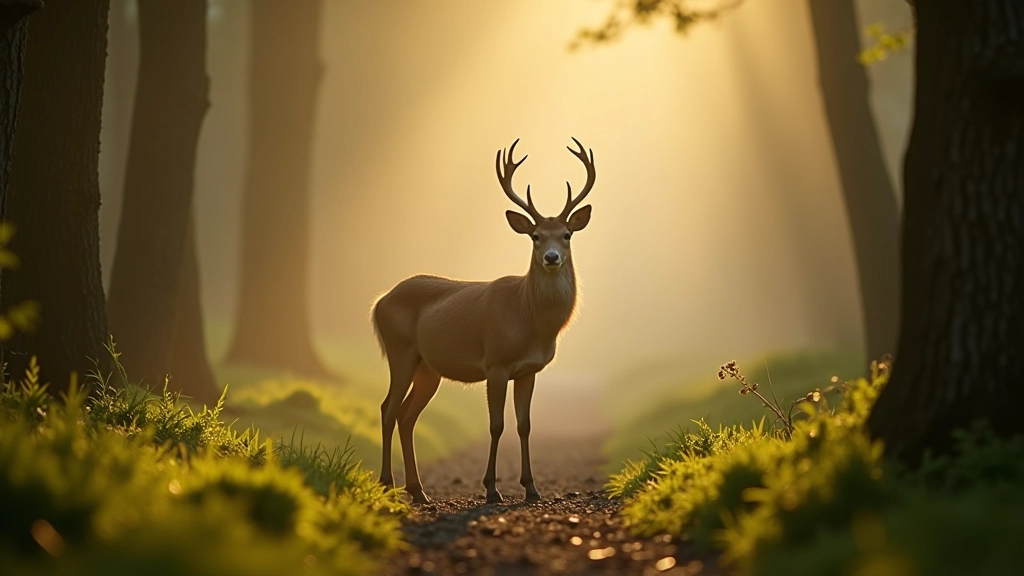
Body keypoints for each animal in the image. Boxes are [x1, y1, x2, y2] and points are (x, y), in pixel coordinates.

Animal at [371, 137, 596, 504]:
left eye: (567, 235)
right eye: (535, 235)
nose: (551, 258)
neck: (529, 318)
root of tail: (379, 302)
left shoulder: (529, 370)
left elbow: (524, 425)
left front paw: (531, 488)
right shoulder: (496, 363)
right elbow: (496, 425)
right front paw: (491, 489)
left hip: (427, 367)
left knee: (406, 416)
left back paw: (418, 491)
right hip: (399, 350)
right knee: (388, 409)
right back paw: (387, 484)